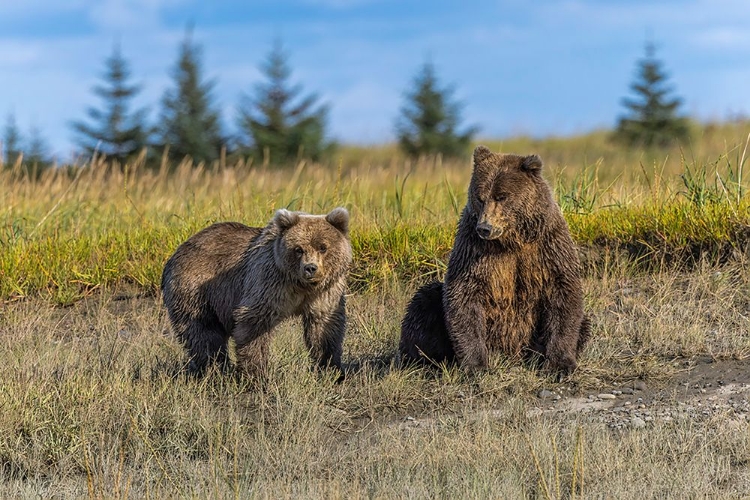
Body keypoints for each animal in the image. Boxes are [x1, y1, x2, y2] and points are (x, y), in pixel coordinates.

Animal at [161, 209, 352, 376]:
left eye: (323, 247)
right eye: (298, 249)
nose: (310, 268)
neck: (300, 286)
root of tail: (176, 253)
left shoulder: (324, 293)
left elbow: (324, 327)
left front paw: (331, 369)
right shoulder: (269, 281)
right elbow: (254, 324)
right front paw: (256, 374)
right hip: (195, 289)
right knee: (203, 333)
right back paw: (215, 370)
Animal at [402, 147, 592, 376]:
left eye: (502, 196)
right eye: (480, 197)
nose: (485, 228)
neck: (512, 241)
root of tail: (513, 353)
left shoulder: (547, 246)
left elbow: (563, 293)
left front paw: (560, 364)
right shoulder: (473, 249)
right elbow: (464, 295)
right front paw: (476, 365)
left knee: (584, 323)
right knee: (424, 303)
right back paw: (425, 360)